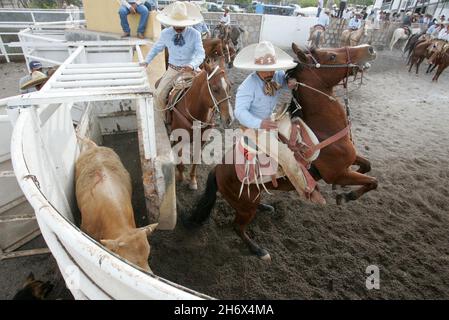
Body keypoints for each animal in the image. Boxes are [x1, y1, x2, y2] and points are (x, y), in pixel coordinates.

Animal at [166, 62, 233, 190]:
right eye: (215, 89)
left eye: (230, 87)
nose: (229, 118)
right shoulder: (179, 137)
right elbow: (180, 157)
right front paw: (180, 176)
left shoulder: (202, 139)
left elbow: (196, 158)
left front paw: (192, 180)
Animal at [183, 42, 378, 260]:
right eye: (331, 56)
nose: (369, 48)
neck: (324, 130)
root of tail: (217, 170)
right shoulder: (337, 173)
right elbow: (373, 181)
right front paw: (345, 196)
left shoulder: (348, 163)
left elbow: (368, 166)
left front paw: (344, 190)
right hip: (245, 207)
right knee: (237, 227)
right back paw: (258, 250)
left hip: (252, 198)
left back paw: (266, 207)